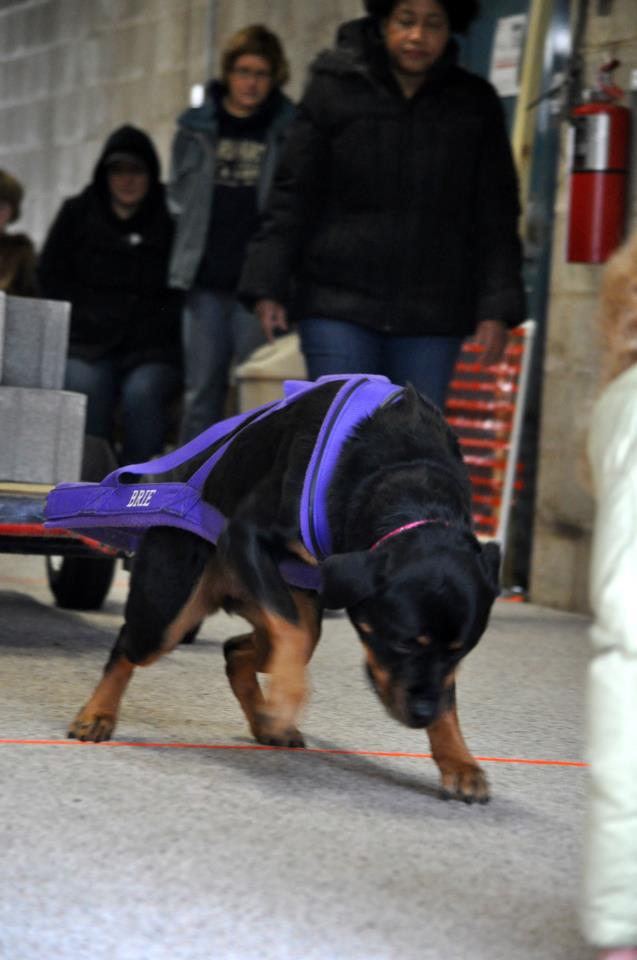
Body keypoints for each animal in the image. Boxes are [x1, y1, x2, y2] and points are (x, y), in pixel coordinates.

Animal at [68, 380, 496, 804]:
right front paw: (287, 697)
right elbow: (294, 633)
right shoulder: (245, 536)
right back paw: (97, 713)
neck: (408, 479)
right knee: (130, 645)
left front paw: (458, 760)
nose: (423, 713)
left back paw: (265, 720)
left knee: (237, 651)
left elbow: (447, 695)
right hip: (168, 613)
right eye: (403, 644)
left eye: (459, 652)